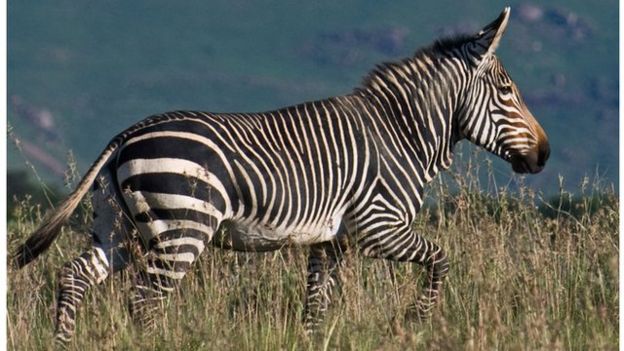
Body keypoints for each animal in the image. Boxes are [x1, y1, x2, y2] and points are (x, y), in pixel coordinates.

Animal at [13, 6, 552, 348]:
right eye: (507, 91)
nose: (545, 155)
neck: (401, 134)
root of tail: (125, 134)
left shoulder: (331, 241)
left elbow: (316, 309)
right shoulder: (379, 228)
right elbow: (441, 260)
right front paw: (418, 322)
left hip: (118, 228)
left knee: (73, 277)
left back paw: (62, 342)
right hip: (182, 228)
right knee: (146, 300)